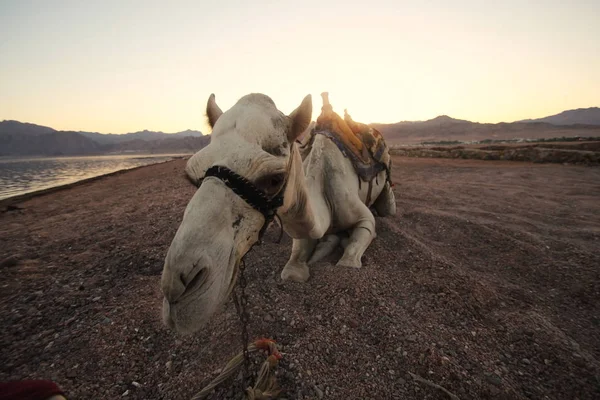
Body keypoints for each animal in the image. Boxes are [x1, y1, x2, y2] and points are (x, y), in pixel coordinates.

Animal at [161, 92, 394, 332]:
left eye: (275, 180)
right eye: (191, 176)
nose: (176, 290)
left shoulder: (364, 218)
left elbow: (350, 257)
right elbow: (293, 269)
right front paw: (321, 249)